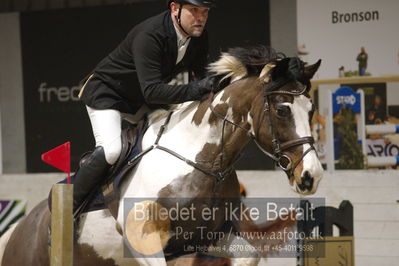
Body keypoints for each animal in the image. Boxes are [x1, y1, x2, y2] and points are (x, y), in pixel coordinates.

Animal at [0, 46, 324, 264]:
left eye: (311, 110)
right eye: (282, 110)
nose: (312, 176)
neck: (206, 162)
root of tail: (18, 229)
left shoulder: (206, 239)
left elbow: (249, 255)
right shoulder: (144, 240)